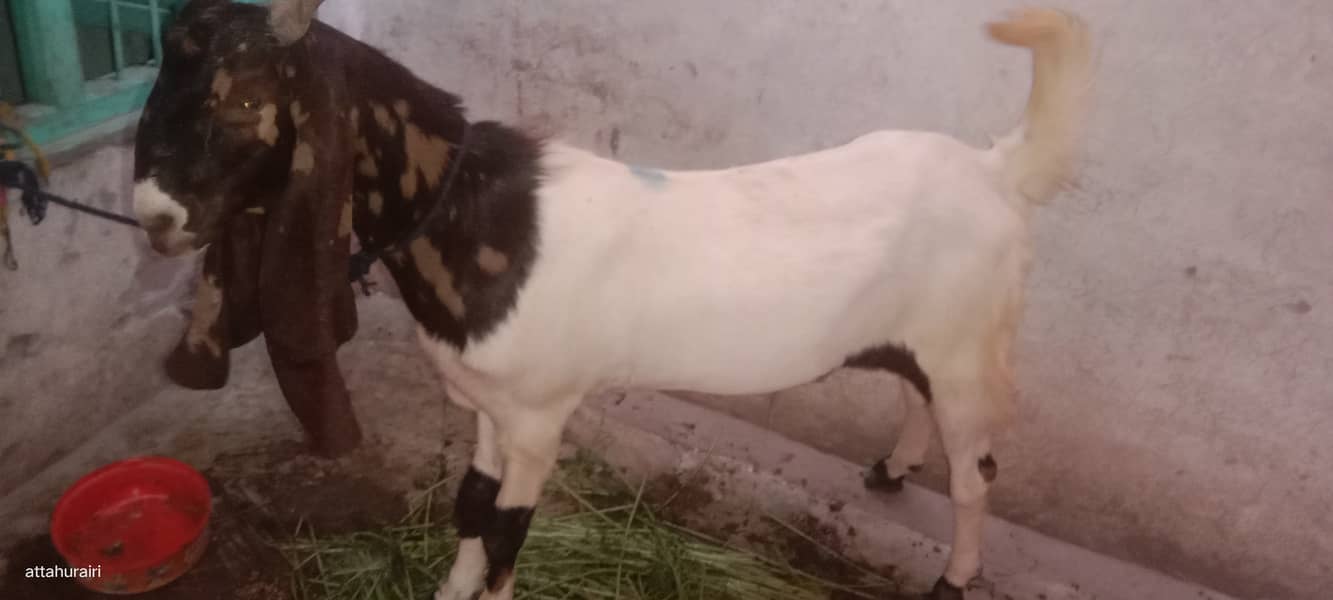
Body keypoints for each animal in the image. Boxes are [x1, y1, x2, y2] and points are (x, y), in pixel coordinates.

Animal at [131, 2, 1093, 599]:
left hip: (970, 346)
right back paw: (891, 468)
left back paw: (952, 577)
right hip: (920, 336)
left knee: (975, 474)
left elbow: (509, 527)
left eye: (245, 100)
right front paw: (447, 586)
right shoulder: (487, 405)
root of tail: (996, 166)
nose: (154, 217)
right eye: (160, 88)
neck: (476, 212)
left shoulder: (538, 414)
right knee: (909, 394)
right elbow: (469, 504)